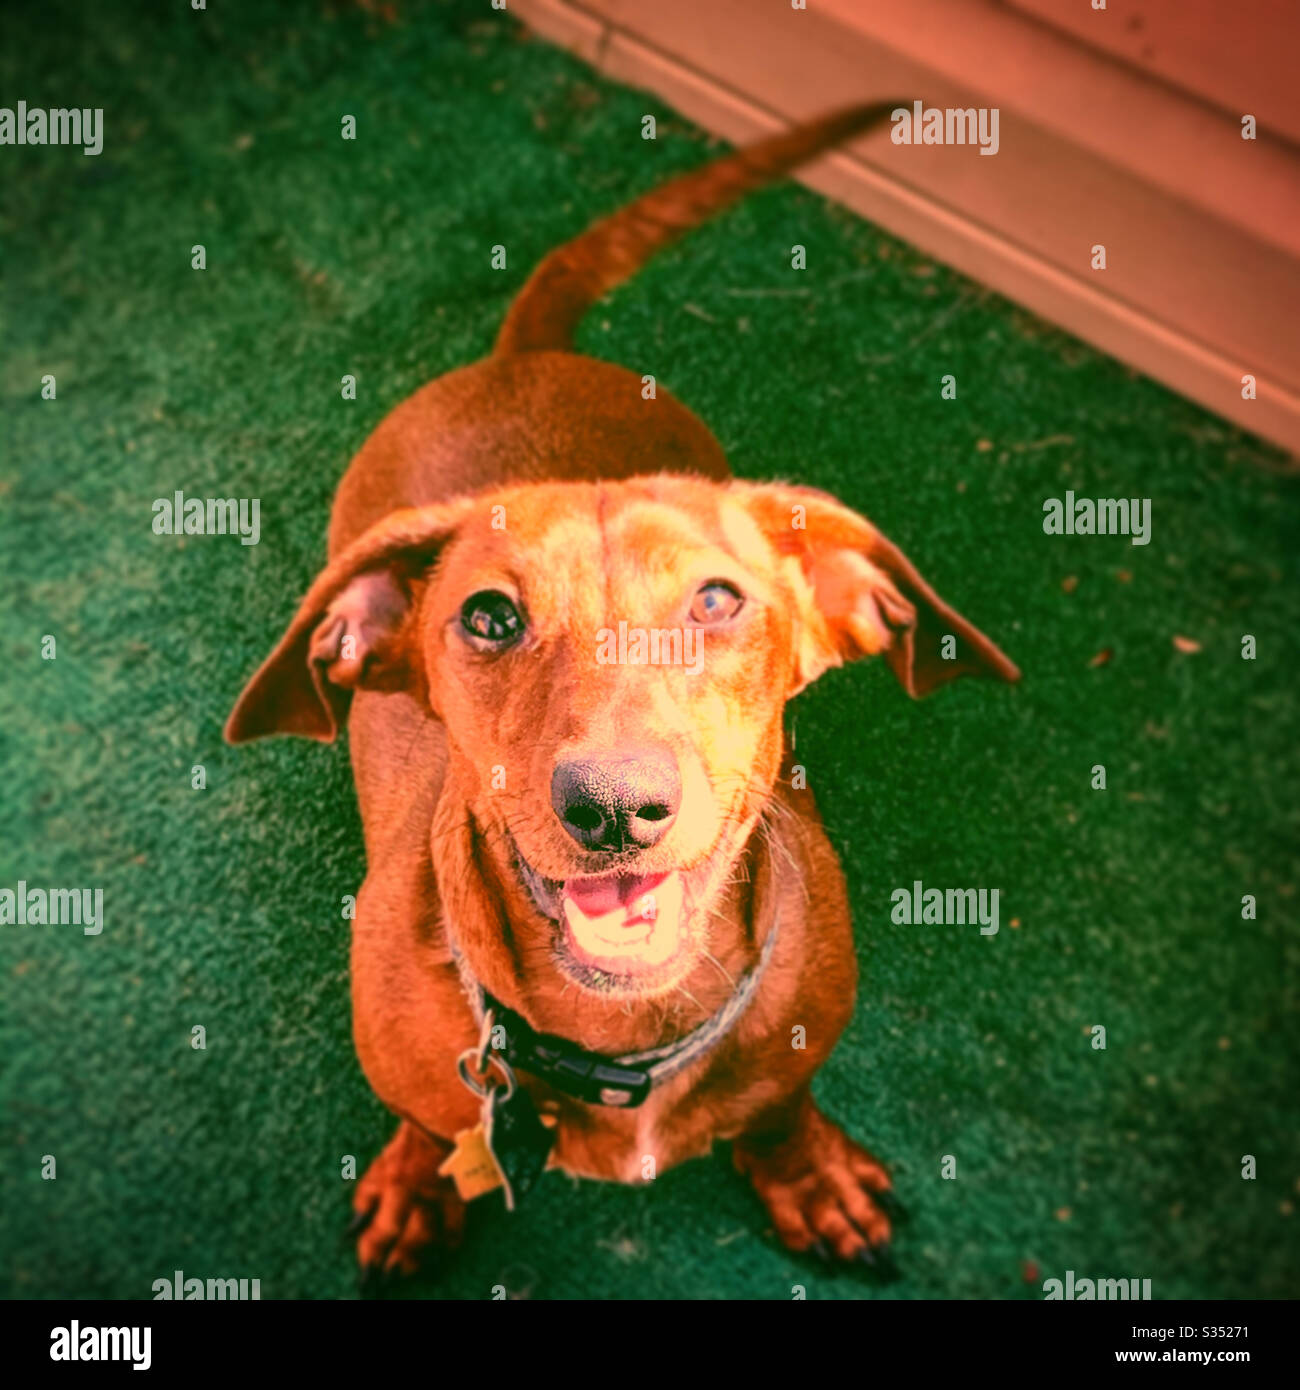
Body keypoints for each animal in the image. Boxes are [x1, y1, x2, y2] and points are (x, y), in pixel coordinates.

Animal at [223, 105, 1023, 1278]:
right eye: (489, 617)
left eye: (718, 599)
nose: (613, 806)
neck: (624, 1042)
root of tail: (523, 357)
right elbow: (428, 1120)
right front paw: (420, 1179)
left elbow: (780, 1104)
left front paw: (806, 1172)